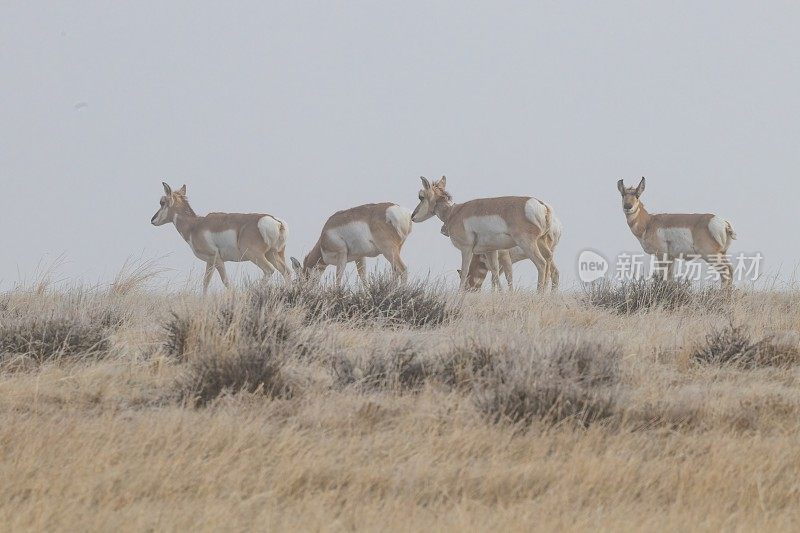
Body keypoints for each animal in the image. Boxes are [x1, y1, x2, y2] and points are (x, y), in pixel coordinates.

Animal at [150, 182, 290, 290]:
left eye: (162, 202)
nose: (152, 220)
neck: (195, 225)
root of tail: (276, 222)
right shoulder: (210, 262)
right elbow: (205, 283)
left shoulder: (216, 258)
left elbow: (226, 282)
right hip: (273, 254)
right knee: (286, 272)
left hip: (255, 255)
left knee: (269, 270)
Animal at [412, 176, 564, 290]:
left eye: (421, 197)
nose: (412, 217)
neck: (454, 212)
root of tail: (542, 205)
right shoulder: (491, 251)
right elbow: (495, 275)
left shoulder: (467, 249)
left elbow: (465, 272)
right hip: (542, 244)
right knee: (550, 266)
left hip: (528, 244)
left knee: (541, 264)